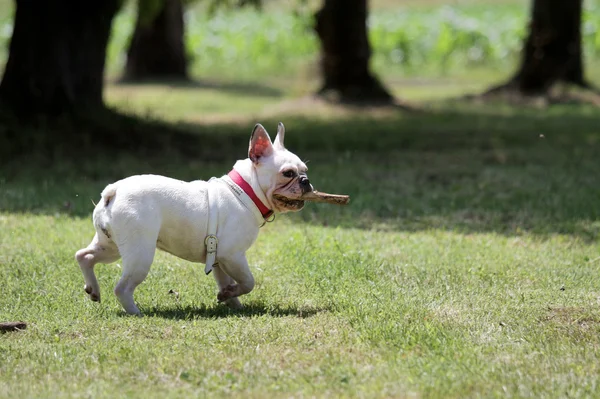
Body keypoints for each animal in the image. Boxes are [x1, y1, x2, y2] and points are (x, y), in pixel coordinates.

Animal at [75, 122, 314, 316]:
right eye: (288, 173)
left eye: (305, 170)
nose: (306, 181)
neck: (245, 190)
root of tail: (113, 191)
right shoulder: (233, 256)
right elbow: (248, 281)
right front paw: (232, 295)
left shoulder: (218, 259)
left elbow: (225, 282)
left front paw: (231, 300)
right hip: (140, 254)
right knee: (121, 288)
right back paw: (135, 312)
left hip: (110, 247)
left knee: (84, 255)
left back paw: (93, 290)